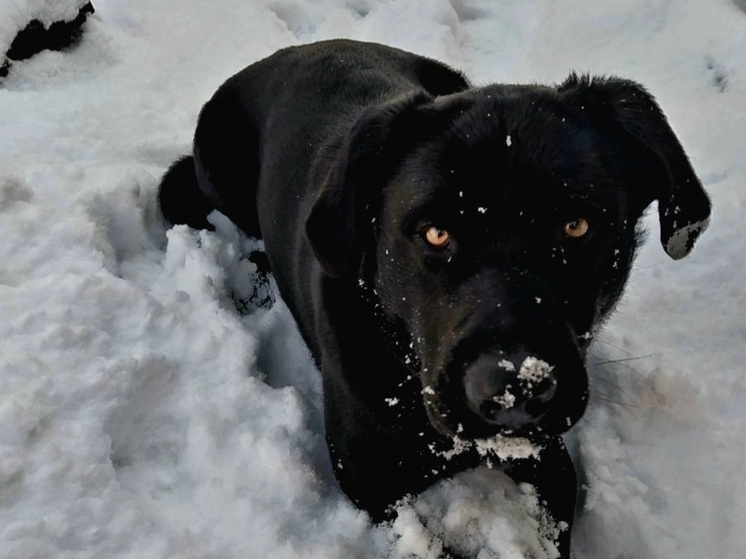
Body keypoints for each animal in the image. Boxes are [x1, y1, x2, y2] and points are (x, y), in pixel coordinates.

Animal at [158, 38, 708, 556]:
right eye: (436, 233)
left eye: (577, 226)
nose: (514, 391)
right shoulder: (373, 487)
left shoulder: (549, 459)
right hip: (215, 170)